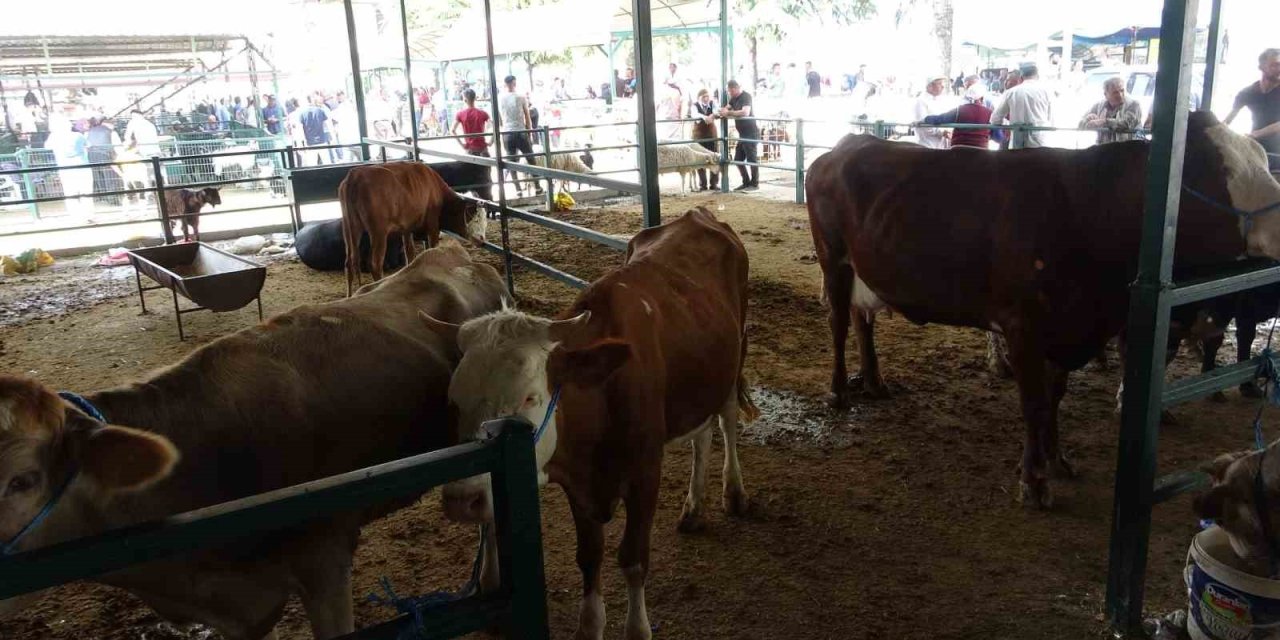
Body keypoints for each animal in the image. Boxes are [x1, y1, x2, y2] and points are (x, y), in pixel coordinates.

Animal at [337, 162, 486, 296]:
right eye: (475, 219)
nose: (482, 240)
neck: (435, 188)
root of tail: (355, 175)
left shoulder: (406, 228)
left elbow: (410, 253)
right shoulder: (433, 226)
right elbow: (432, 248)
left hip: (349, 228)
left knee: (349, 262)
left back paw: (349, 295)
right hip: (378, 232)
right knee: (375, 263)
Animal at [424, 208, 752, 640]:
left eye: (530, 396)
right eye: (454, 399)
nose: (464, 500)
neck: (603, 395)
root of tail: (697, 214)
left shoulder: (645, 473)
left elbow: (633, 558)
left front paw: (637, 628)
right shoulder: (578, 485)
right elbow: (589, 556)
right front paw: (591, 625)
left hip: (733, 361)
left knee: (727, 421)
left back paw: (734, 492)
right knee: (702, 434)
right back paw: (694, 507)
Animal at [803, 111, 1280, 509]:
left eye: (1260, 160)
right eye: (1221, 172)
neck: (1087, 212)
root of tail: (846, 145)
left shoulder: (1065, 330)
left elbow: (1055, 397)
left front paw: (1056, 459)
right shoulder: (1024, 328)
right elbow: (1033, 404)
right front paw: (1033, 481)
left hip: (866, 269)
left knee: (863, 322)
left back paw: (874, 382)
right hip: (834, 259)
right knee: (839, 323)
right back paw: (839, 391)